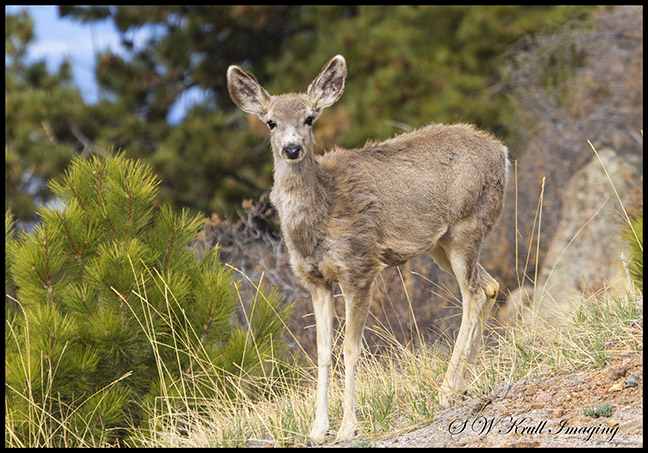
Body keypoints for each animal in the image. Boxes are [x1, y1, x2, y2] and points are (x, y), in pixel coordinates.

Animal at [227, 55, 508, 444]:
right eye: (270, 122)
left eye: (309, 118)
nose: (292, 148)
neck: (320, 217)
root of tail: (502, 151)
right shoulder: (315, 280)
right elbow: (322, 351)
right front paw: (318, 429)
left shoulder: (359, 266)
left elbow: (351, 347)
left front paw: (348, 427)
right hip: (441, 242)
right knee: (490, 286)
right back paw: (463, 383)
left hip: (467, 225)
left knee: (472, 295)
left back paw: (445, 391)